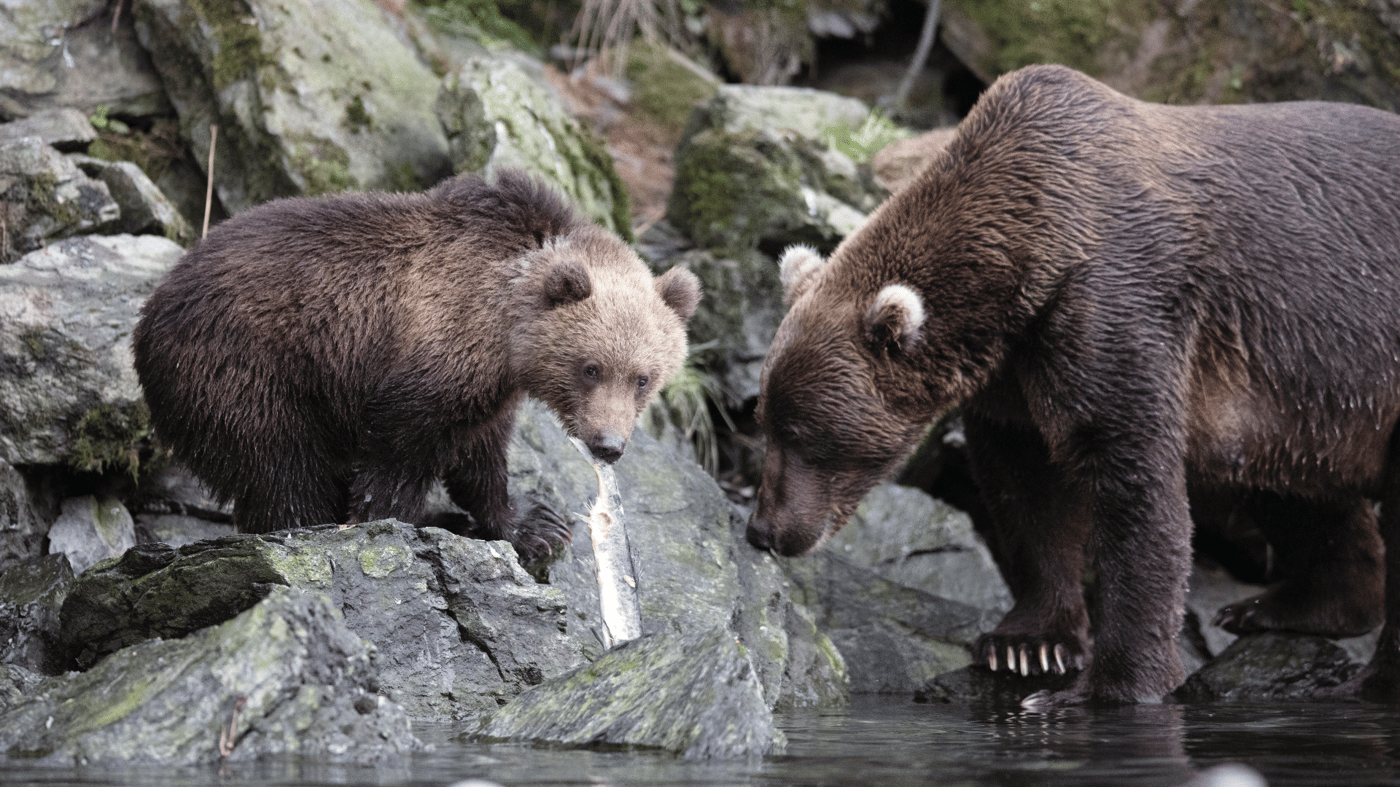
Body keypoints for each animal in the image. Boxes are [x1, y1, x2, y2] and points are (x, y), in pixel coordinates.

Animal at [133, 169, 701, 561]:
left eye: (643, 379)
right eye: (590, 367)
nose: (609, 445)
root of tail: (151, 312)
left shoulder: (488, 388)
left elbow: (480, 455)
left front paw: (536, 524)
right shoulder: (434, 353)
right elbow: (397, 453)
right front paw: (389, 524)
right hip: (248, 371)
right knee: (280, 466)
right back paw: (303, 524)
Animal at [745, 63, 1400, 706]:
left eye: (805, 434)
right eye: (765, 422)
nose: (764, 531)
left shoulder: (1115, 303)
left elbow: (1130, 476)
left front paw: (1110, 684)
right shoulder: (1014, 373)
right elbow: (1026, 485)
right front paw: (1026, 644)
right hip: (1301, 394)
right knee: (1295, 488)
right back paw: (1285, 605)